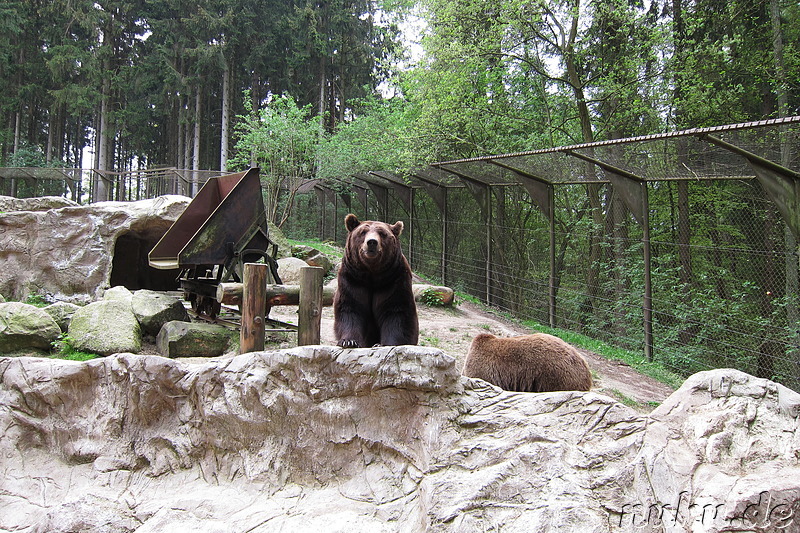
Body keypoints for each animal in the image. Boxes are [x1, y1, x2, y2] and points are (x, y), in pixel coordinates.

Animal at [332, 214, 418, 348]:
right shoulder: (352, 279)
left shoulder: (394, 280)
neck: (372, 274)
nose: (372, 242)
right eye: (363, 232)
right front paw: (349, 341)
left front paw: (383, 344)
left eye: (382, 233)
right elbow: (350, 307)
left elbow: (396, 311)